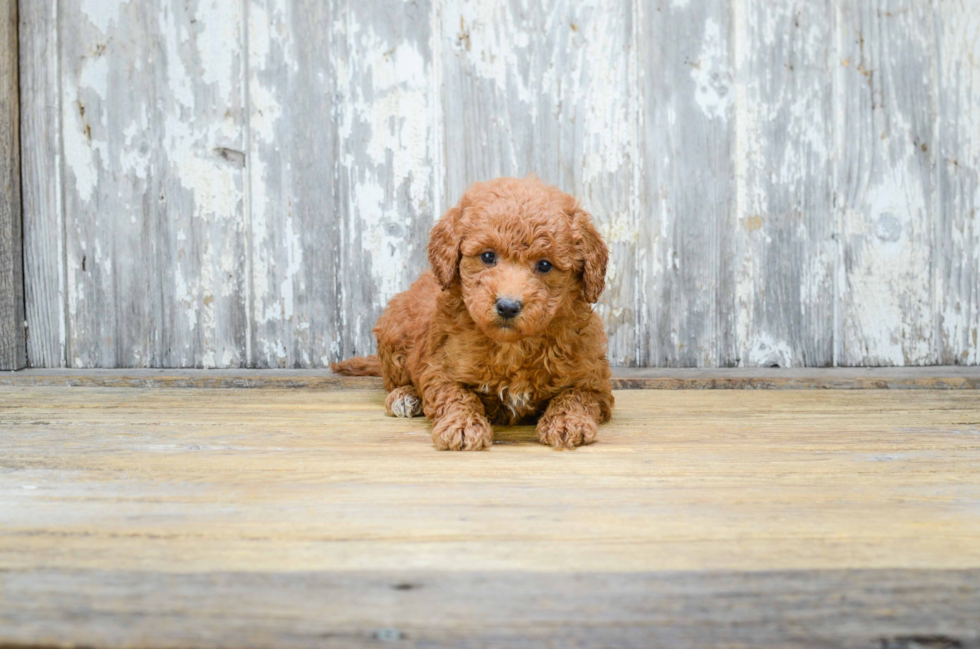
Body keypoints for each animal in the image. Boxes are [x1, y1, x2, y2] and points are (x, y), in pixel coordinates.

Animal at [334, 177, 612, 450]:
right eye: (488, 256)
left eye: (545, 264)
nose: (507, 306)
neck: (512, 347)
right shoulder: (439, 369)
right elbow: (456, 395)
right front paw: (462, 426)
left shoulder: (595, 380)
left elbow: (577, 395)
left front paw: (568, 421)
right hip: (394, 333)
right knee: (394, 380)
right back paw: (404, 396)